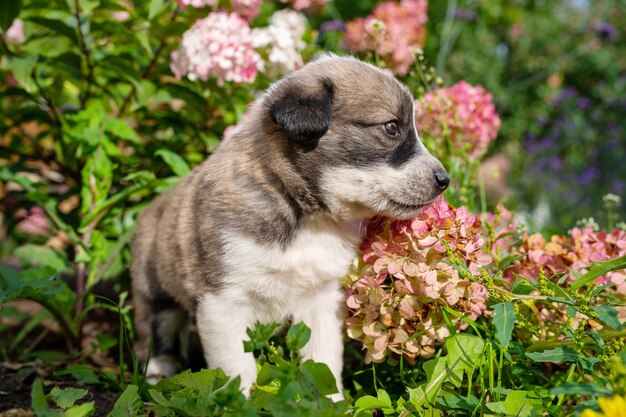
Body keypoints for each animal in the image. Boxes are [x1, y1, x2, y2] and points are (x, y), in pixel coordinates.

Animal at [130, 53, 448, 398]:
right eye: (391, 127)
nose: (444, 180)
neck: (306, 216)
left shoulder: (322, 299)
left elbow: (323, 360)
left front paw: (331, 402)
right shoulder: (224, 301)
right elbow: (236, 368)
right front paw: (238, 402)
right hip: (154, 291)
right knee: (155, 334)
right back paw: (156, 374)